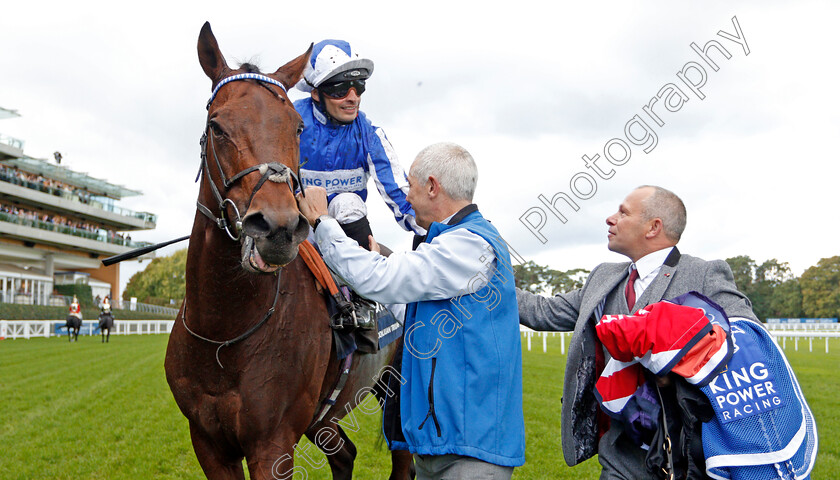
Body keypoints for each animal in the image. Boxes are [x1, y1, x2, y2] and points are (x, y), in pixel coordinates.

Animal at [164, 23, 414, 480]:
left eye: (296, 128)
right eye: (216, 125)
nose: (278, 227)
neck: (224, 334)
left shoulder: (272, 443)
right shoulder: (208, 442)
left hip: (397, 388)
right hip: (323, 416)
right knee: (344, 453)